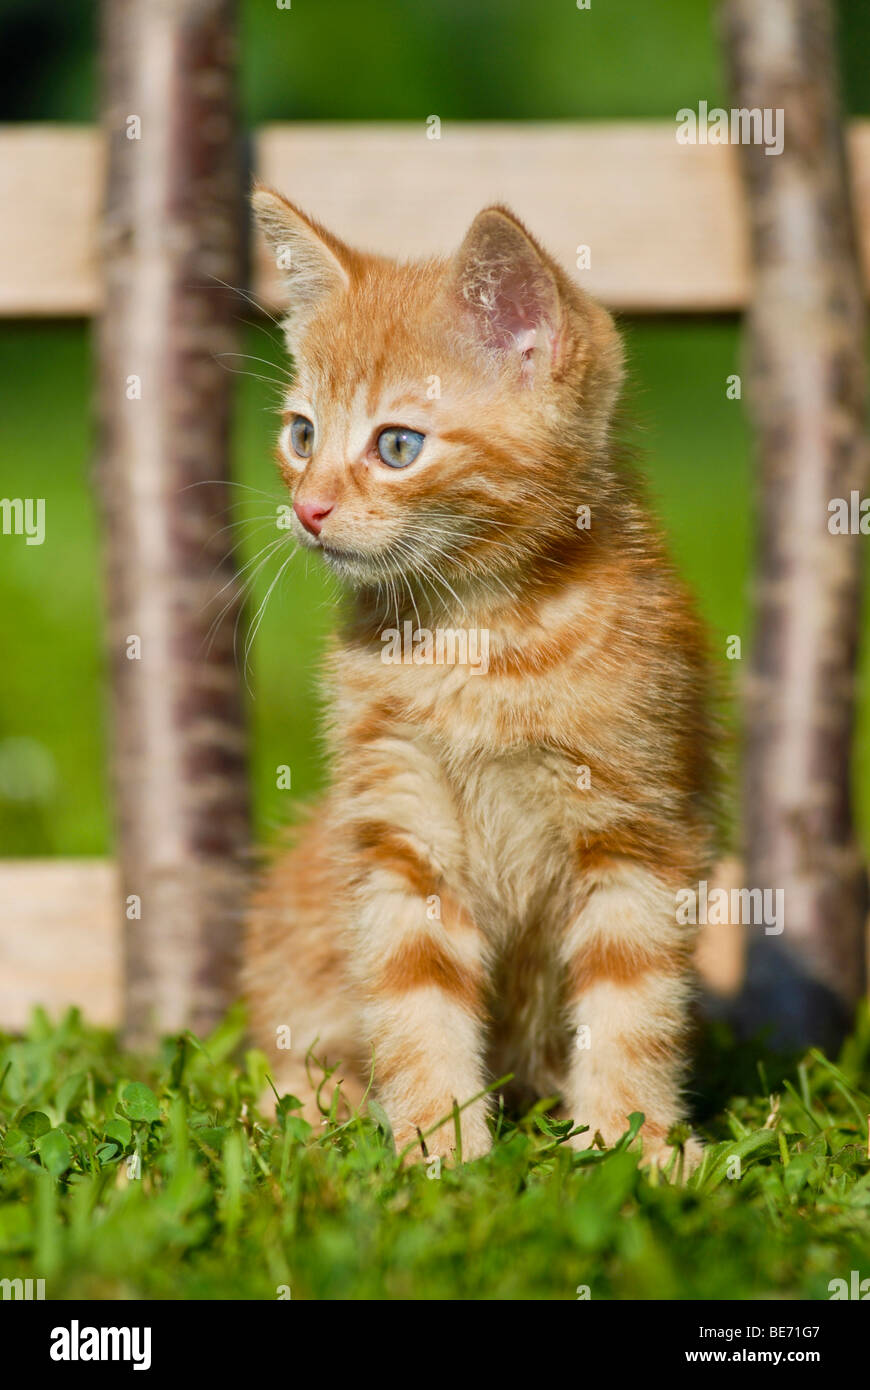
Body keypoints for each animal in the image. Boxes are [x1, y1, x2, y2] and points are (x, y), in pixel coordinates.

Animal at [241, 190, 711, 1167]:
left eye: (397, 445)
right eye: (302, 434)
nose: (308, 508)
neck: (478, 644)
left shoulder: (640, 826)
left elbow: (633, 998)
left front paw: (633, 1146)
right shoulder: (398, 827)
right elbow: (412, 991)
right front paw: (436, 1150)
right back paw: (321, 1109)